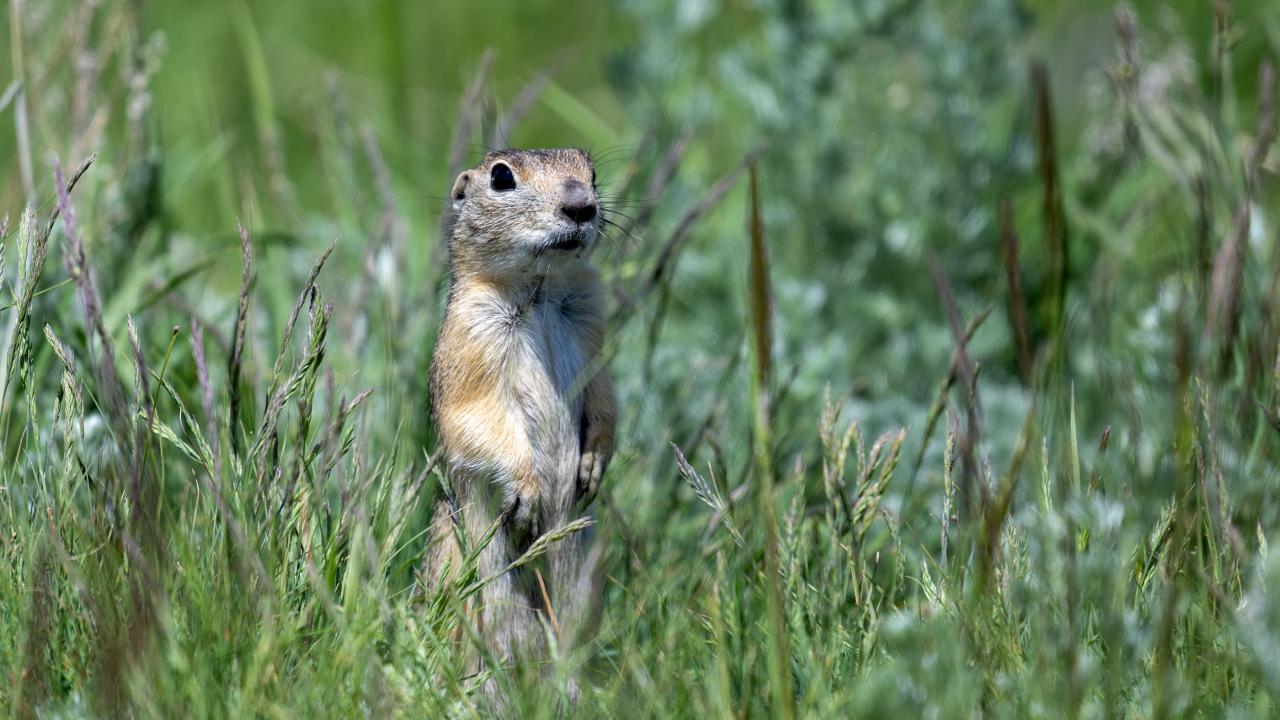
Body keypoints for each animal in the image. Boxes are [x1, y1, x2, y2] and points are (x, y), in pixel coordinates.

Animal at [426, 148, 616, 687]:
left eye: (591, 172)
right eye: (501, 177)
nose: (582, 205)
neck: (541, 289)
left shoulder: (594, 330)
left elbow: (604, 398)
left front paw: (593, 464)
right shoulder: (471, 334)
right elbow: (477, 417)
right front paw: (528, 491)